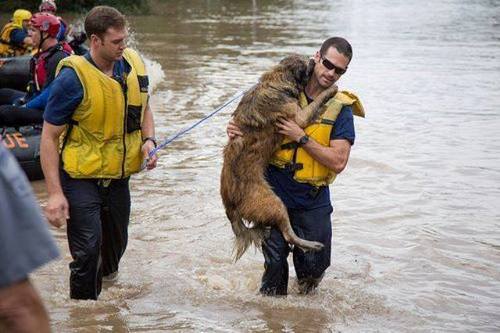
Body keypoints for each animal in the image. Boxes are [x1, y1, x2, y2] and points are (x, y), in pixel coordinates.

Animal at [221, 53, 338, 260]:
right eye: (305, 63)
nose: (313, 59)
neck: (277, 80)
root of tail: (230, 206)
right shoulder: (298, 116)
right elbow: (316, 103)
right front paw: (331, 90)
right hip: (273, 203)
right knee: (288, 234)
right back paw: (312, 245)